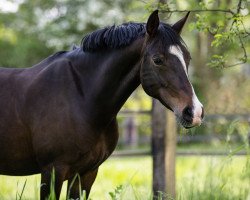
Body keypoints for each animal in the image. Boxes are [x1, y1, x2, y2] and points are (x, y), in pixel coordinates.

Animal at [0, 10, 203, 200]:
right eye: (157, 60)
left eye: (188, 58)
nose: (194, 112)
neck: (81, 98)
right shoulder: (52, 171)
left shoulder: (86, 173)